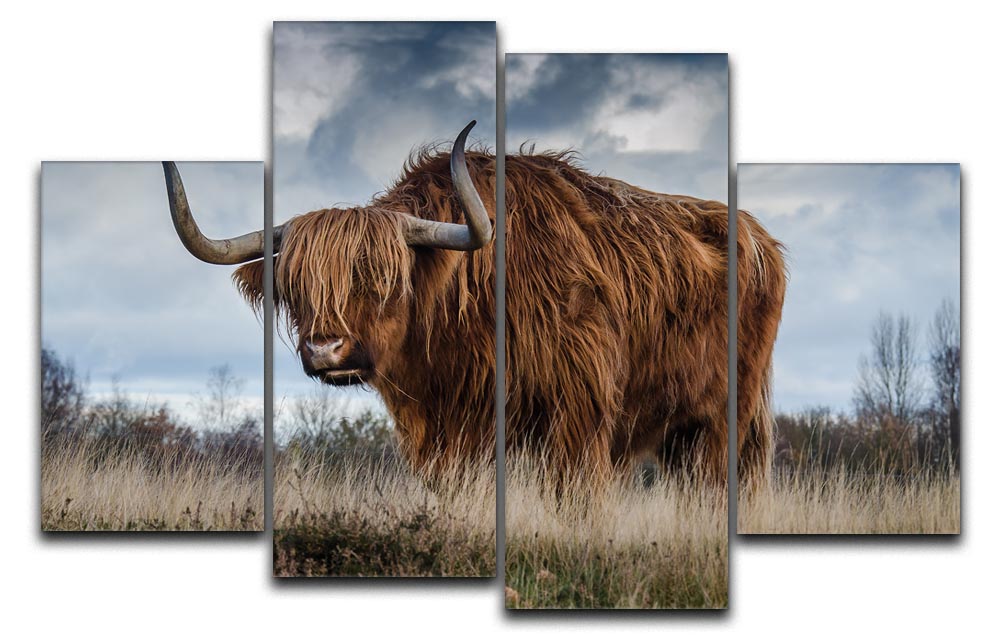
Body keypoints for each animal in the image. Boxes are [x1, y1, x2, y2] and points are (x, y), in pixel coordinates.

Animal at [163, 121, 785, 489]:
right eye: (295, 289)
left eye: (384, 280)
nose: (324, 350)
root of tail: (761, 238)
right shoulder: (442, 432)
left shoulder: (579, 413)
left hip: (725, 418)